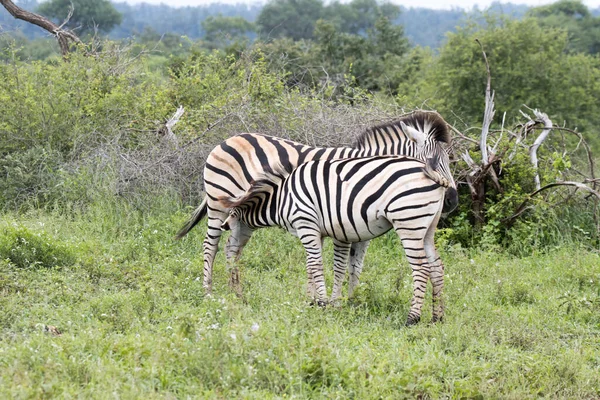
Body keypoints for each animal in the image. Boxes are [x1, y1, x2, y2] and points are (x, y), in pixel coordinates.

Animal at [223, 153, 452, 324]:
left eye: (230, 232)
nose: (235, 293)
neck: (281, 199)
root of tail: (429, 170)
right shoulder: (318, 231)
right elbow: (311, 266)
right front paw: (311, 300)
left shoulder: (305, 223)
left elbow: (316, 265)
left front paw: (323, 302)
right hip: (427, 228)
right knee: (437, 266)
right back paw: (437, 317)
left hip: (408, 222)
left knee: (421, 269)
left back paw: (412, 318)